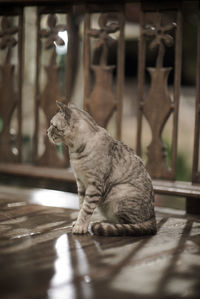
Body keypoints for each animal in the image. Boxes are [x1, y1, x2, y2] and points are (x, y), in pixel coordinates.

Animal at [47, 102, 156, 238]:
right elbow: (81, 205)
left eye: (52, 125)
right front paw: (78, 222)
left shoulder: (94, 185)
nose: (46, 131)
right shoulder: (81, 183)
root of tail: (153, 216)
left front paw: (80, 226)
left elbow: (86, 209)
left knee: (130, 224)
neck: (74, 150)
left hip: (118, 192)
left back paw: (103, 224)